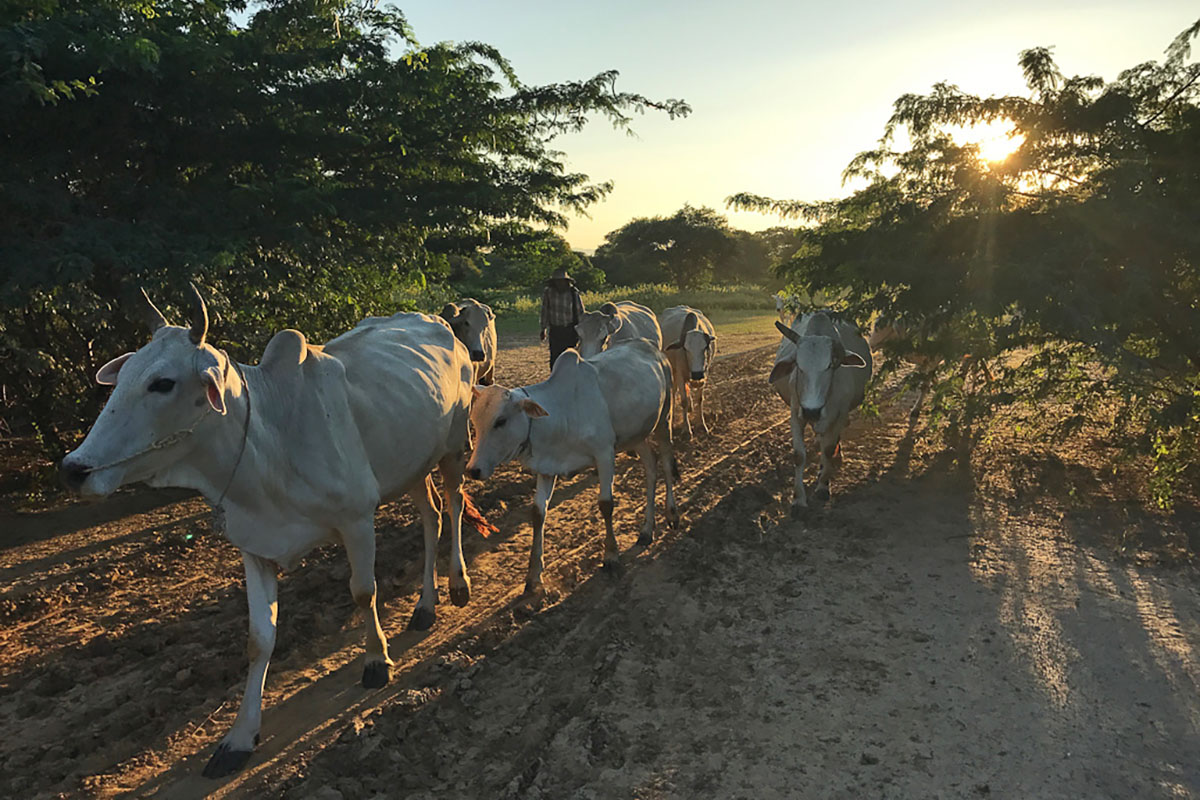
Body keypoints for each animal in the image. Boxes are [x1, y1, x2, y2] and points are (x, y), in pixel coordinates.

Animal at [59, 286, 492, 777]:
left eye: (162, 383)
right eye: (124, 376)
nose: (74, 469)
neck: (268, 440)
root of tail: (441, 324)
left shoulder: (357, 520)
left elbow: (364, 592)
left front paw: (376, 661)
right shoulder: (254, 547)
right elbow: (258, 639)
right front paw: (239, 737)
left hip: (454, 448)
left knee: (453, 506)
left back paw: (457, 584)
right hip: (411, 465)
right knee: (431, 515)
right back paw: (424, 606)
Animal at [463, 343, 681, 594]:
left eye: (500, 421)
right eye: (475, 422)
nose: (473, 469)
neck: (562, 412)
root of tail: (652, 348)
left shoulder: (604, 453)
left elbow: (606, 504)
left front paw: (611, 555)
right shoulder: (547, 468)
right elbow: (538, 513)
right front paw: (534, 576)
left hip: (664, 419)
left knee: (666, 463)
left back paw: (672, 514)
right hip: (636, 436)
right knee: (651, 465)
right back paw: (646, 530)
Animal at [662, 304, 715, 438]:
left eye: (705, 347)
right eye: (685, 348)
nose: (696, 374)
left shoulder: (704, 374)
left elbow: (699, 399)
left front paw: (702, 425)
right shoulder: (680, 375)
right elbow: (684, 401)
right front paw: (687, 429)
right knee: (675, 392)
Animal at [768, 311, 873, 520]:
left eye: (831, 366)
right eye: (798, 365)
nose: (812, 410)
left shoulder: (840, 414)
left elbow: (828, 449)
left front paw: (823, 486)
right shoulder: (796, 414)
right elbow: (799, 455)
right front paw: (798, 500)